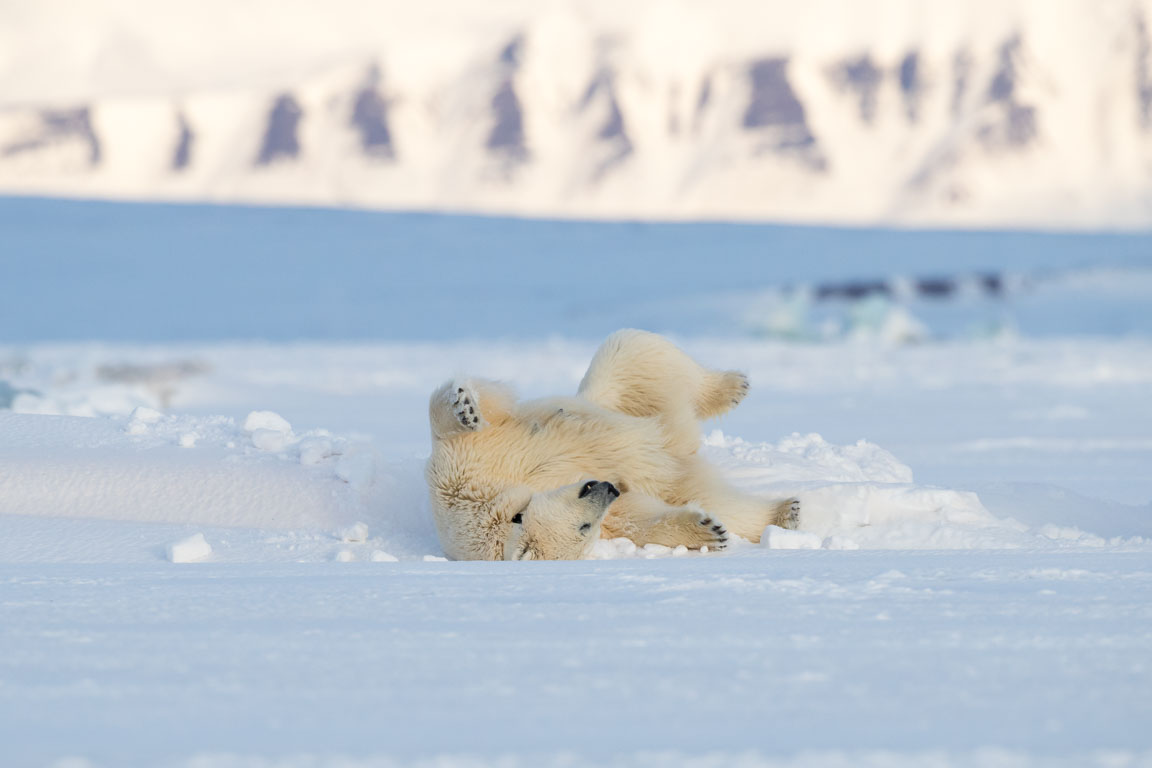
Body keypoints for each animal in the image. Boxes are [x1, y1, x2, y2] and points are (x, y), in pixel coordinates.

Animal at [426, 327, 801, 561]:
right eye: (585, 528)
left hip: (623, 397)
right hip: (676, 474)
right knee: (722, 502)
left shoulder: (466, 465)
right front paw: (707, 530)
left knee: (634, 349)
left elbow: (476, 410)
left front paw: (465, 407)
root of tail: (680, 447)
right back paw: (785, 511)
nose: (606, 487)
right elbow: (635, 517)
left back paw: (732, 386)